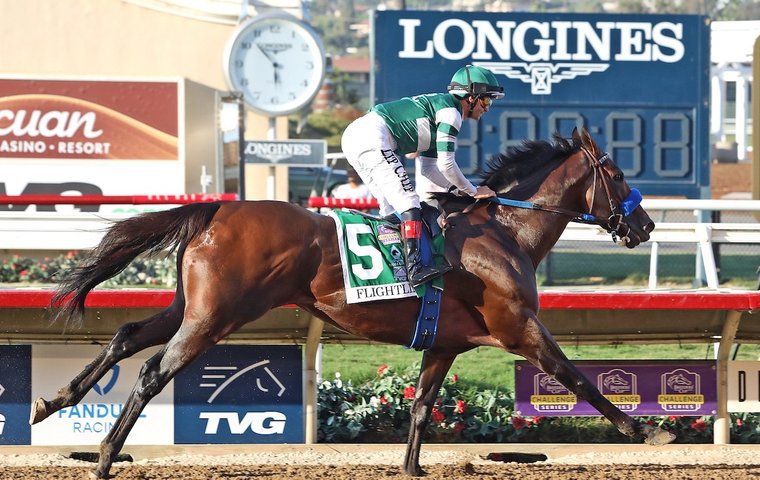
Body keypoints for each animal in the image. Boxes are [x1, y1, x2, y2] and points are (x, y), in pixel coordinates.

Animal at [30, 127, 673, 479]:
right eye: (616, 173)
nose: (645, 224)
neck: (504, 232)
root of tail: (216, 209)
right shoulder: (519, 328)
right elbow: (576, 375)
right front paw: (647, 432)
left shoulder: (446, 343)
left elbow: (421, 407)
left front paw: (411, 467)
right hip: (215, 317)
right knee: (151, 372)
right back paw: (105, 456)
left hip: (192, 307)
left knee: (126, 337)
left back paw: (54, 402)